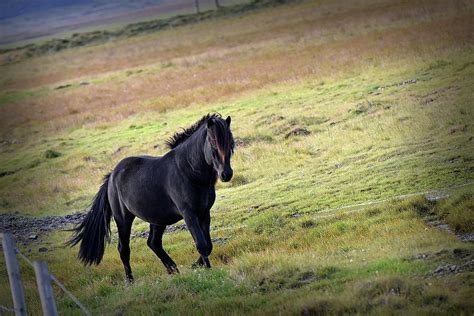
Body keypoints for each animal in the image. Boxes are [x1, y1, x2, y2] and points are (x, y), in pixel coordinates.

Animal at [67, 113, 234, 282]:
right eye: (214, 144)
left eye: (230, 144)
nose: (226, 174)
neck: (189, 171)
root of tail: (112, 176)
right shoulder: (189, 214)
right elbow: (202, 244)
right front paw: (208, 270)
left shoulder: (204, 212)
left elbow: (208, 244)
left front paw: (197, 265)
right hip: (123, 219)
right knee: (124, 249)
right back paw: (130, 280)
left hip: (158, 219)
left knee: (153, 243)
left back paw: (172, 269)